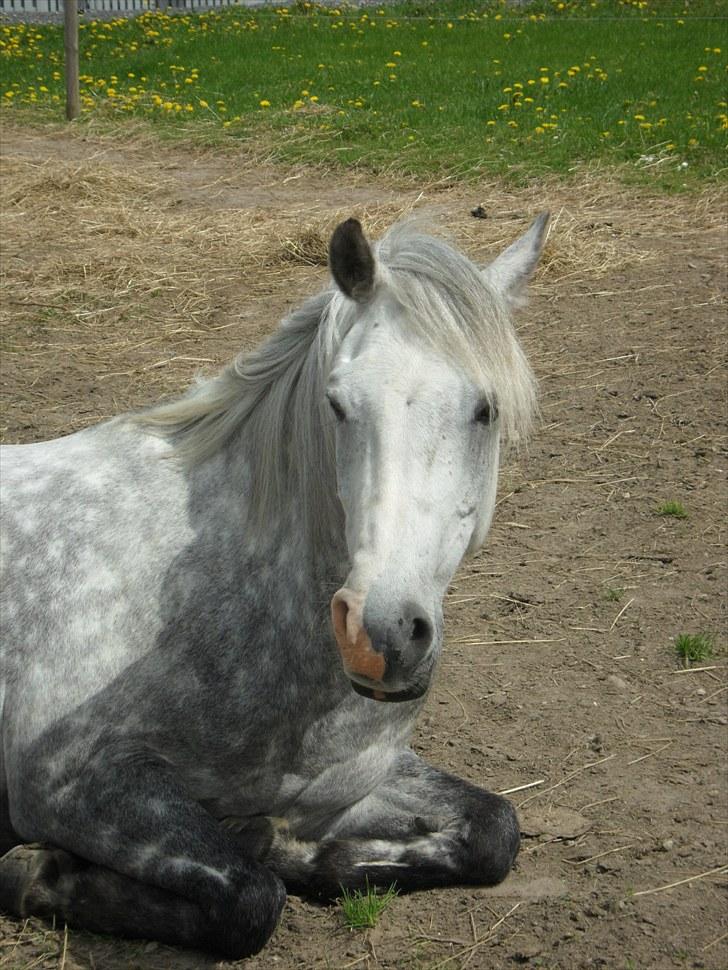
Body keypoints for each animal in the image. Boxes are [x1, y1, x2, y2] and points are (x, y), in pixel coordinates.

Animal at [0, 212, 544, 952]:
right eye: (337, 404)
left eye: (484, 410)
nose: (379, 635)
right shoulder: (63, 784)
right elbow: (250, 899)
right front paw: (35, 873)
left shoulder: (351, 782)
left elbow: (495, 829)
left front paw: (290, 847)